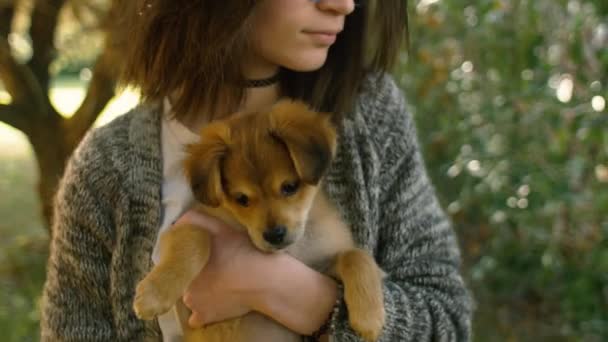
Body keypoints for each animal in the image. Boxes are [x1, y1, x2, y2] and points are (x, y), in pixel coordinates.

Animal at [133, 100, 384, 340]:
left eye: (289, 186)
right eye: (241, 199)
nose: (274, 236)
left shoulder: (321, 266)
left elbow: (356, 256)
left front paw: (368, 317)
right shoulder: (179, 229)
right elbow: (197, 236)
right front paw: (154, 295)